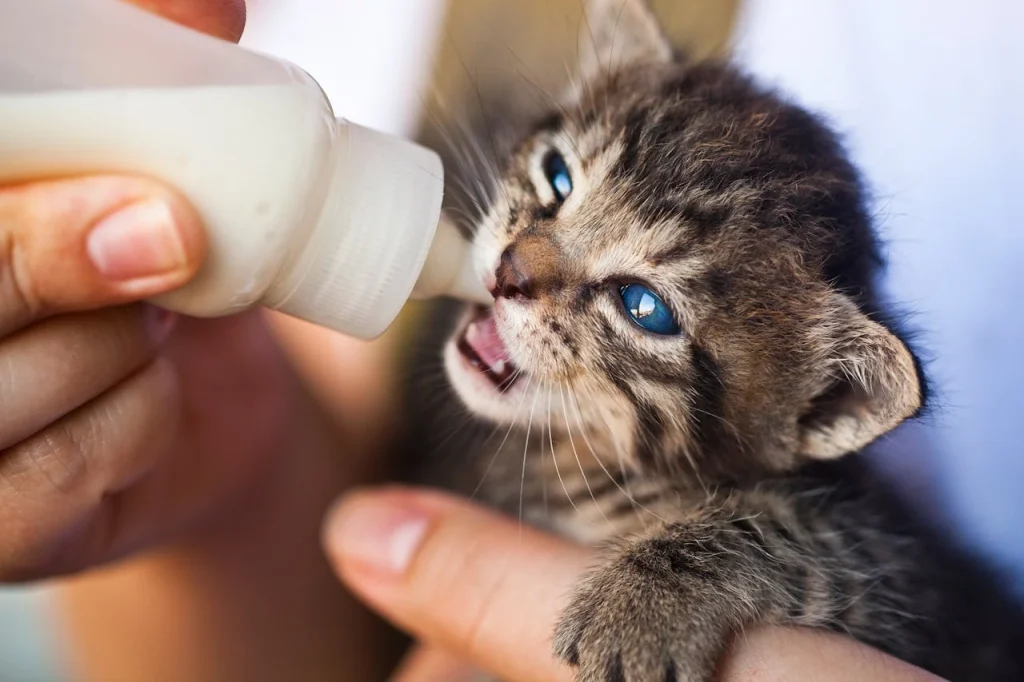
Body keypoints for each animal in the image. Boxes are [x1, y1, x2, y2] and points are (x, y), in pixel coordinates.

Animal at [403, 1, 1024, 679]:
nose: (507, 272)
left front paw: (642, 603)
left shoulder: (907, 588)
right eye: (557, 177)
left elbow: (802, 533)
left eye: (643, 307)